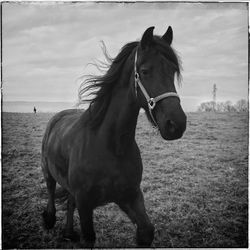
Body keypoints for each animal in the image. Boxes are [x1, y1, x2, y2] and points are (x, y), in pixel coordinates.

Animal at [41, 26, 186, 247]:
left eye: (173, 71)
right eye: (145, 71)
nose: (176, 124)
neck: (111, 146)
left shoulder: (130, 196)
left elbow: (146, 231)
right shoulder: (86, 203)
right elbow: (88, 237)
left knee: (70, 202)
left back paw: (69, 232)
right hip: (47, 171)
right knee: (50, 190)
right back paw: (49, 219)